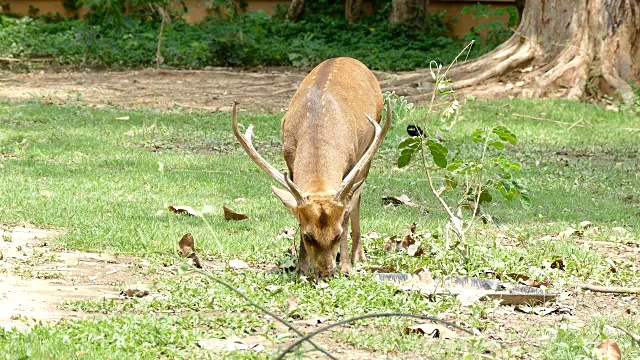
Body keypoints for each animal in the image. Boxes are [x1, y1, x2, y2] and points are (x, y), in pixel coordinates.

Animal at [231, 57, 390, 280]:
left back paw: (359, 256)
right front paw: (301, 268)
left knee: (358, 198)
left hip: (369, 147)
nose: (326, 274)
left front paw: (346, 267)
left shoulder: (351, 162)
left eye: (337, 235)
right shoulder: (289, 159)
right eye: (307, 236)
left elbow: (347, 211)